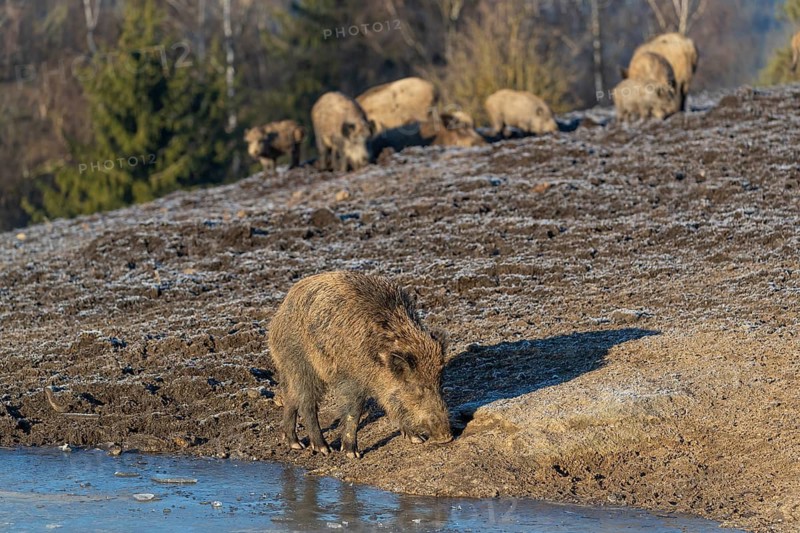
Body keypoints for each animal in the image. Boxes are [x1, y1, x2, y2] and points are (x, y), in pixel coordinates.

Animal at [268, 271, 452, 458]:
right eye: (417, 388)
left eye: (439, 383)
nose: (447, 437)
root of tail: (278, 316)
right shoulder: (351, 380)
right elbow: (354, 412)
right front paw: (352, 454)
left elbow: (393, 405)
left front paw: (417, 439)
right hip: (301, 365)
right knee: (307, 404)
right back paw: (323, 449)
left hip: (290, 370)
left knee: (291, 398)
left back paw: (295, 444)